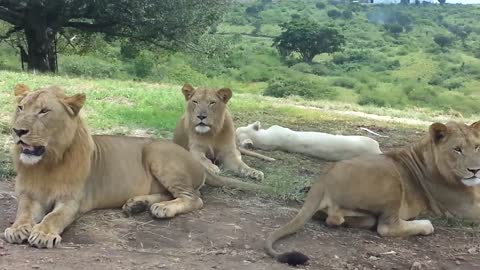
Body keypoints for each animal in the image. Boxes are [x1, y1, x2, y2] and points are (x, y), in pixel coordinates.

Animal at [3, 85, 262, 249]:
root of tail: (193, 157)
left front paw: (43, 234)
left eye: (44, 111)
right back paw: (138, 204)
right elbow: (23, 213)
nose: (17, 131)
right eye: (21, 108)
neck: (46, 163)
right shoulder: (28, 196)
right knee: (170, 194)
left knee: (194, 198)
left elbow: (53, 217)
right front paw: (17, 229)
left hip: (156, 154)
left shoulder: (72, 201)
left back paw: (163, 209)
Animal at [264, 121, 480, 266]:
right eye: (457, 149)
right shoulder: (465, 207)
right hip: (392, 179)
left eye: (477, 146)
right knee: (387, 227)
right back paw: (425, 225)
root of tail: (323, 179)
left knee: (339, 220)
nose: (475, 170)